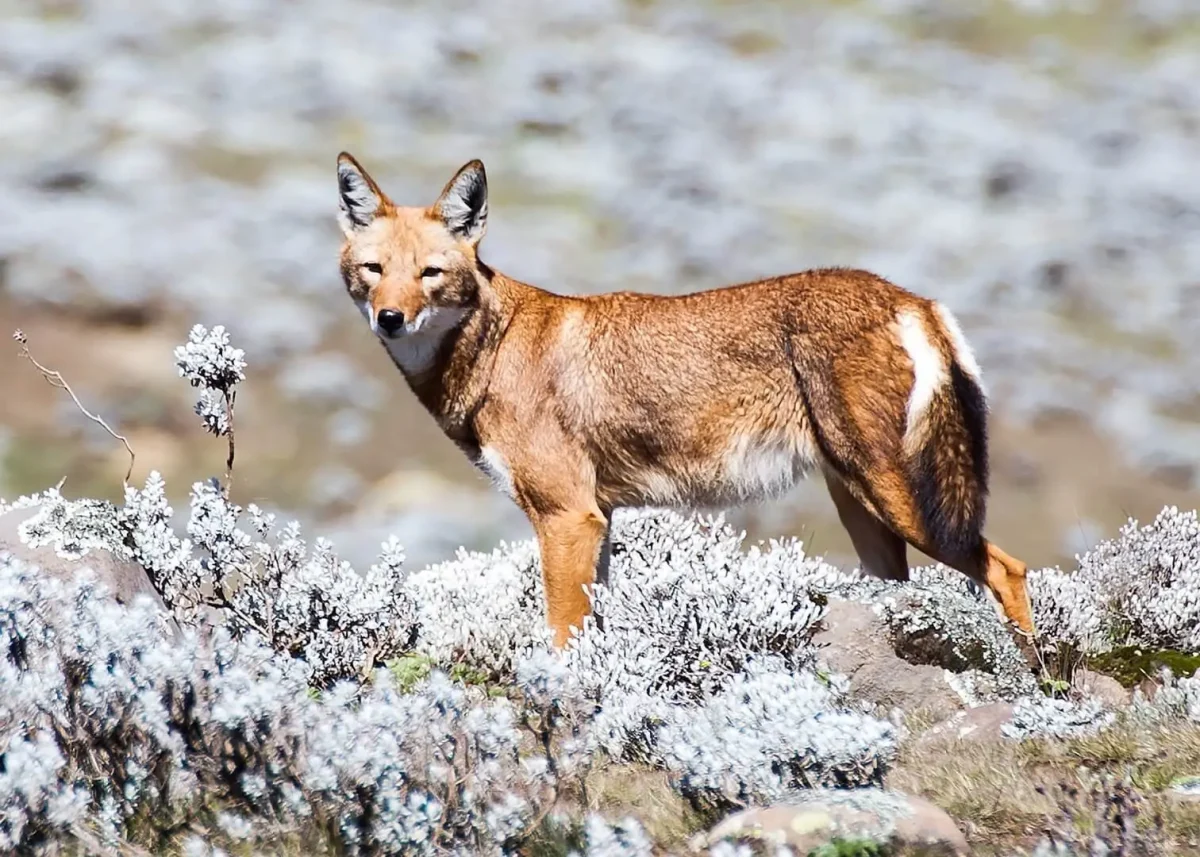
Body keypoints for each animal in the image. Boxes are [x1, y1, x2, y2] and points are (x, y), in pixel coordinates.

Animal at [336, 153, 1032, 648]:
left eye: (430, 273)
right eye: (374, 270)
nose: (390, 319)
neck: (493, 345)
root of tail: (912, 298)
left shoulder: (567, 517)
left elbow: (561, 637)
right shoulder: (597, 520)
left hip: (906, 505)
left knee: (1008, 569)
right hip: (864, 513)